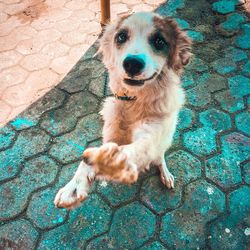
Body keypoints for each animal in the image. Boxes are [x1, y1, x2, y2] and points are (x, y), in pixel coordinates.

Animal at [54, 11, 191, 209]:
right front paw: (73, 187)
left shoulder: (150, 136)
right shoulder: (111, 135)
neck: (134, 102)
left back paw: (164, 173)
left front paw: (106, 162)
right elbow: (93, 157)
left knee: (159, 157)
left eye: (159, 41)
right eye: (121, 36)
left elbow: (128, 151)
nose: (132, 63)